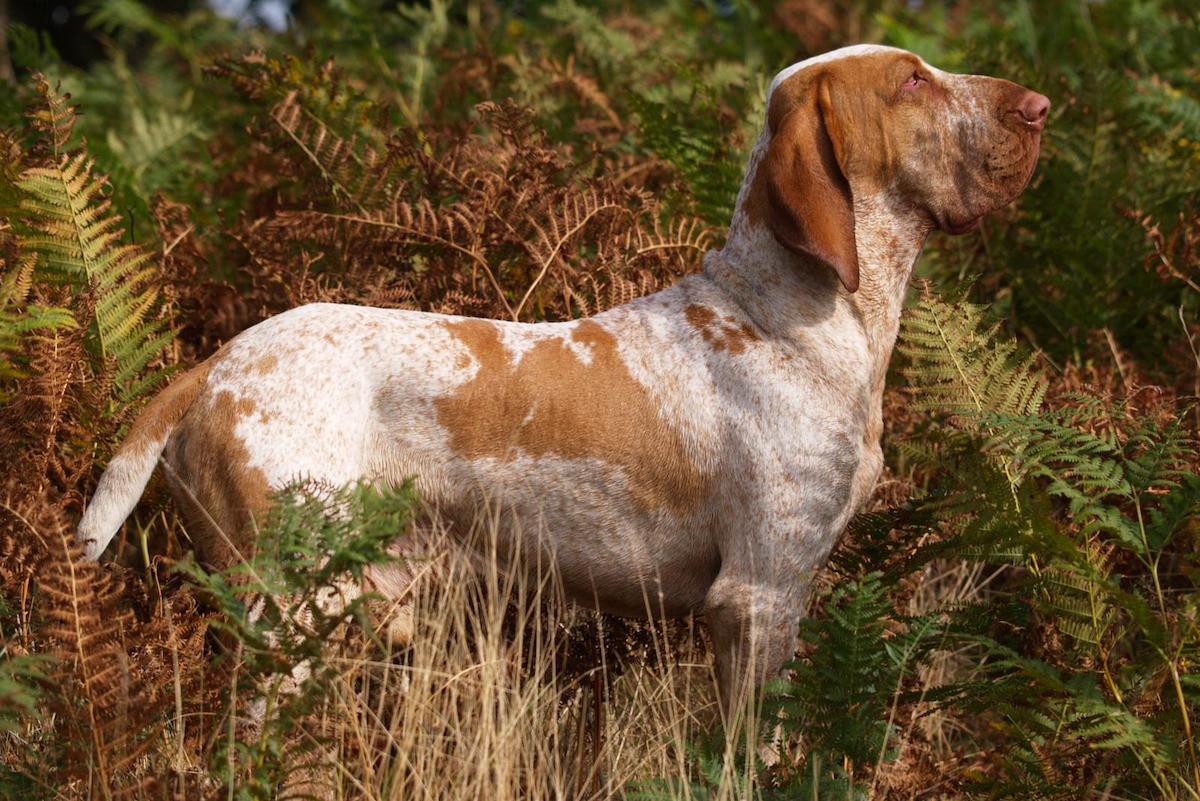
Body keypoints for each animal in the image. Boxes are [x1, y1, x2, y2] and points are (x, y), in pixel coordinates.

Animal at [79, 43, 1046, 709]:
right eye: (911, 81)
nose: (1040, 106)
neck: (784, 313)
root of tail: (216, 362)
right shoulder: (759, 598)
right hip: (288, 617)